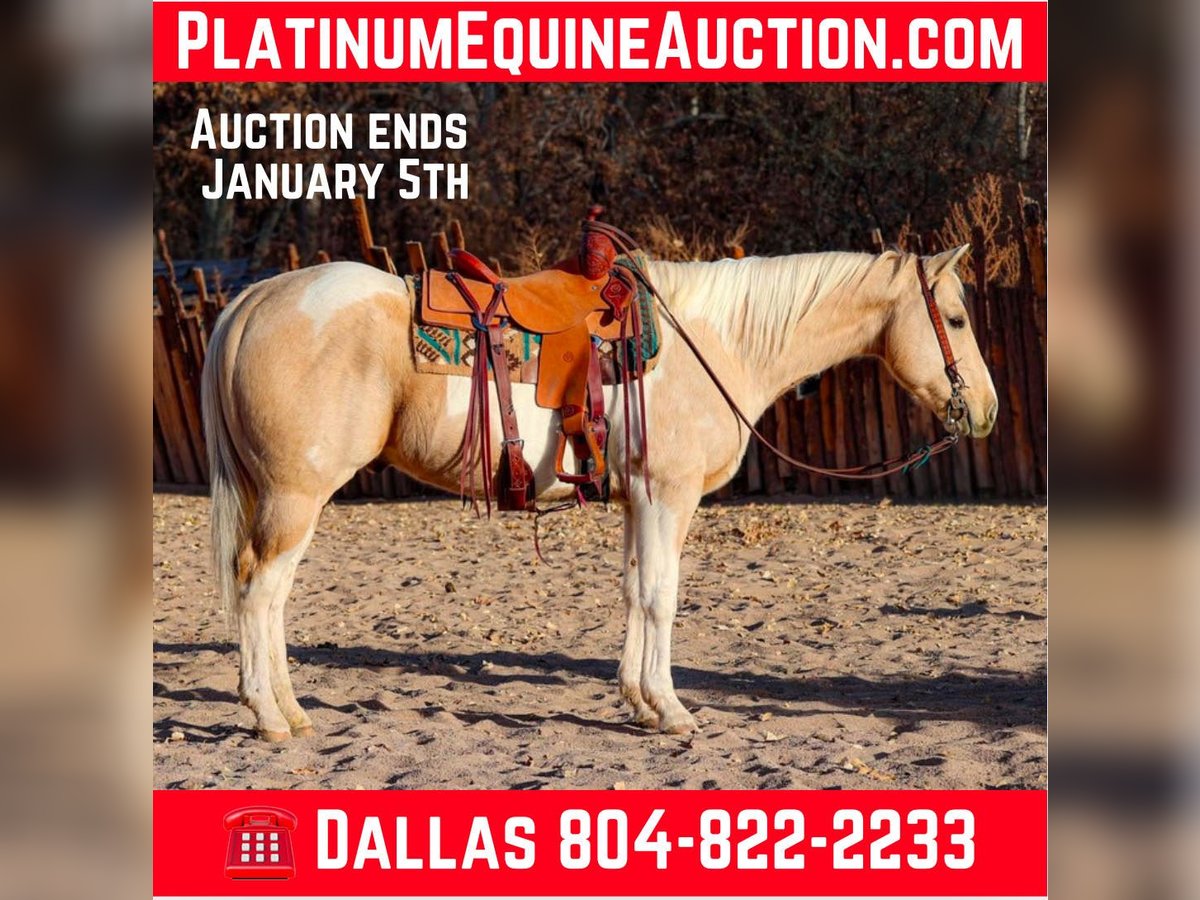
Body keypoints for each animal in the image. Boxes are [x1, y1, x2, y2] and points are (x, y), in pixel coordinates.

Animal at [201, 245, 998, 741]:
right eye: (956, 319)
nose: (985, 411)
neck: (716, 342)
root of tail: (254, 299)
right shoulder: (669, 495)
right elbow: (662, 596)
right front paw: (670, 710)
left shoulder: (638, 501)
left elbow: (634, 590)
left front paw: (638, 702)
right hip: (296, 497)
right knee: (260, 591)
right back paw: (270, 717)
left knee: (267, 595)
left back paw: (291, 710)